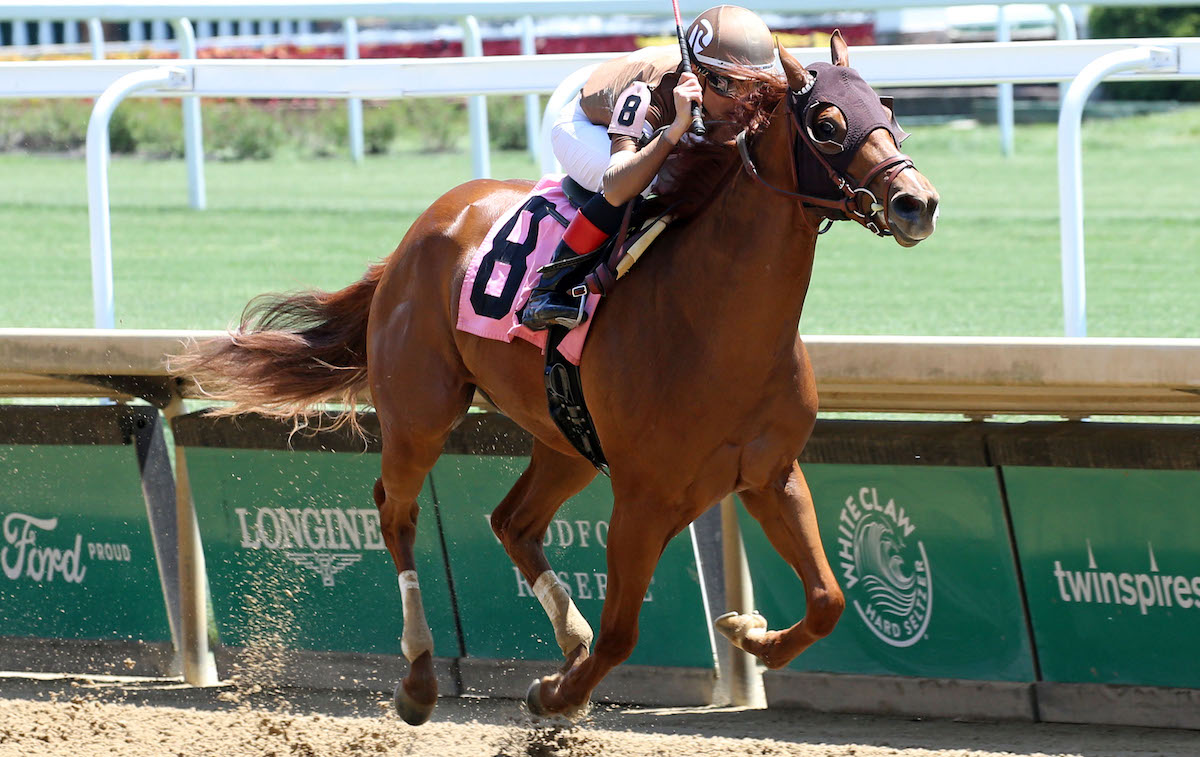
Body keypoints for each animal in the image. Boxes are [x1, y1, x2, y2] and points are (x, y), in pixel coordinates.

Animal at [175, 38, 936, 724]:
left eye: (890, 111)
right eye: (828, 123)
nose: (916, 202)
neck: (716, 326)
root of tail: (418, 232)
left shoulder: (770, 473)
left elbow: (829, 600)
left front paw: (750, 633)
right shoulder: (644, 498)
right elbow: (623, 632)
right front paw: (556, 696)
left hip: (564, 438)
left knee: (511, 520)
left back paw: (568, 638)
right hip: (420, 412)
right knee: (397, 510)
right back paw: (421, 677)